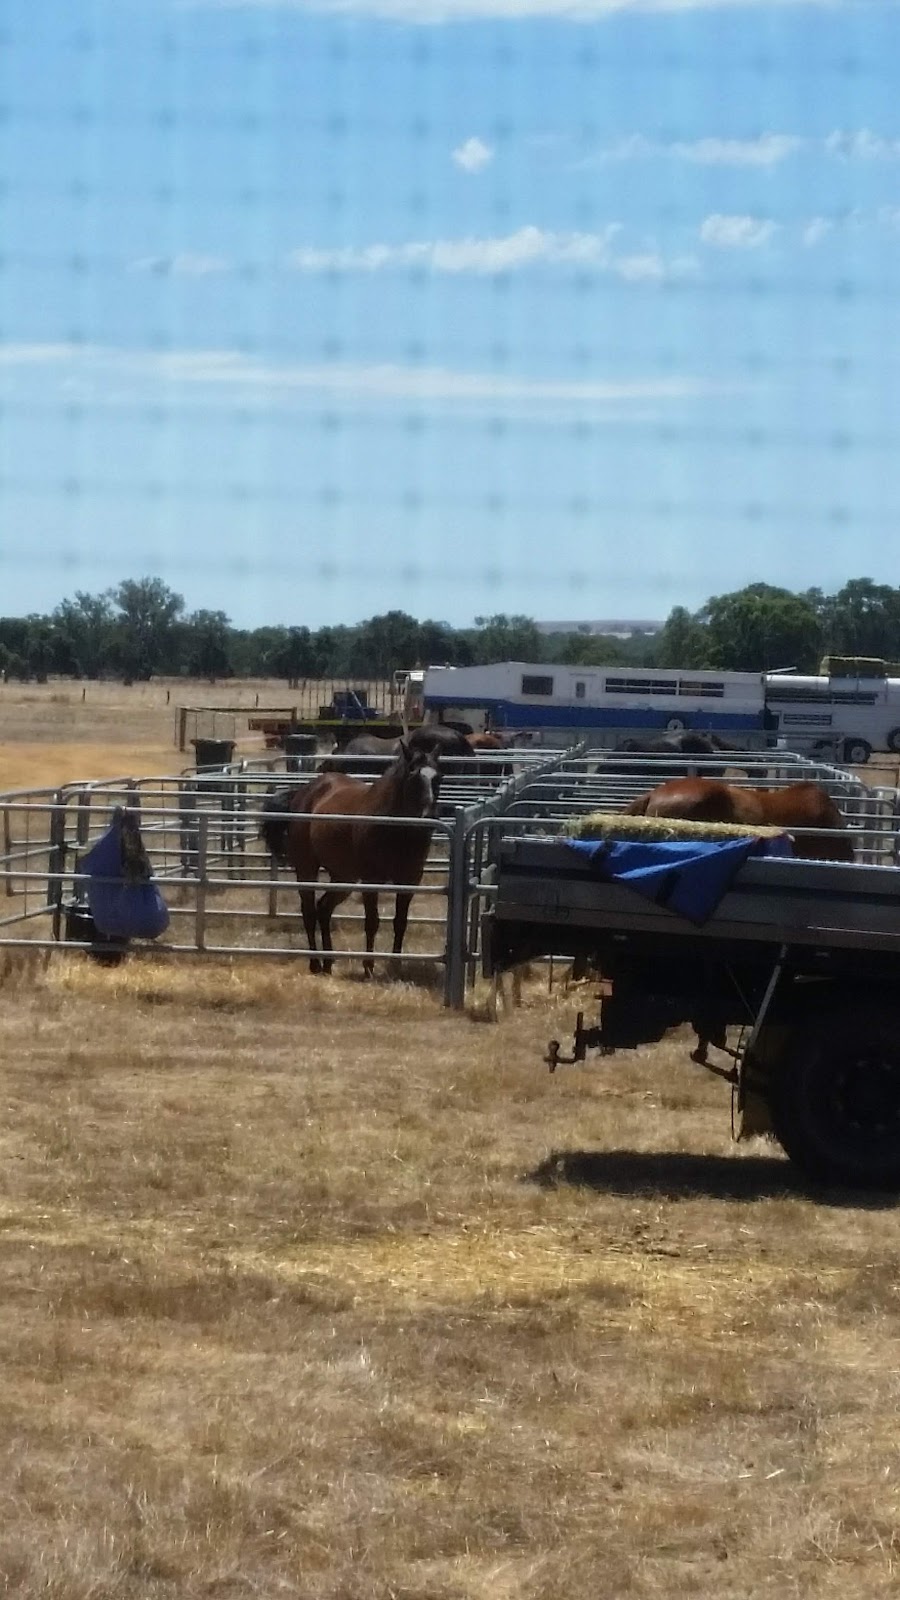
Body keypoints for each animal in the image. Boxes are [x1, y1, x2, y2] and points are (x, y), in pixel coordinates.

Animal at [259, 736, 441, 972]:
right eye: (413, 775)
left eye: (439, 777)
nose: (429, 817)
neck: (394, 828)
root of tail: (302, 793)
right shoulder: (371, 881)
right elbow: (372, 922)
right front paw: (368, 967)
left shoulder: (409, 881)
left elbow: (400, 922)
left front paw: (395, 966)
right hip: (307, 868)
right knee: (309, 911)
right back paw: (315, 963)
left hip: (343, 877)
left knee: (323, 908)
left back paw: (328, 962)